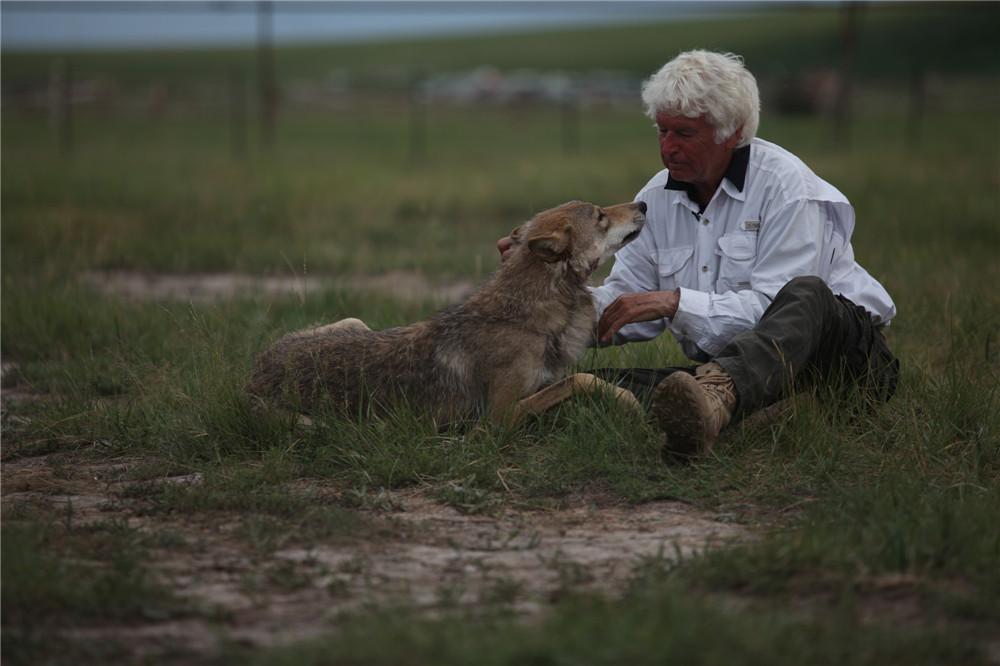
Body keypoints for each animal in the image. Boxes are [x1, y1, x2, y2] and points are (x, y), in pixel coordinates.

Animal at [246, 200, 644, 422]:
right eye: (600, 216)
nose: (642, 206)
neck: (526, 312)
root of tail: (256, 368)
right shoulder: (498, 418)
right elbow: (581, 380)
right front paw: (629, 400)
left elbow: (577, 381)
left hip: (355, 322)